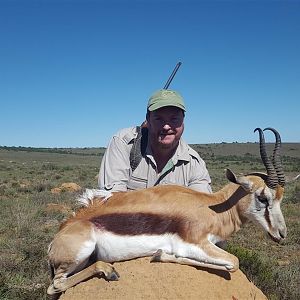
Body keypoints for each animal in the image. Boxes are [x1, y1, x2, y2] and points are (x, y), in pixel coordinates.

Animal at [48, 126, 288, 296]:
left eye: (281, 197)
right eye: (262, 197)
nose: (281, 234)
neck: (212, 207)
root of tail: (57, 238)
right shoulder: (193, 244)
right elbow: (233, 263)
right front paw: (161, 254)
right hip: (81, 252)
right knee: (55, 286)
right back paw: (109, 271)